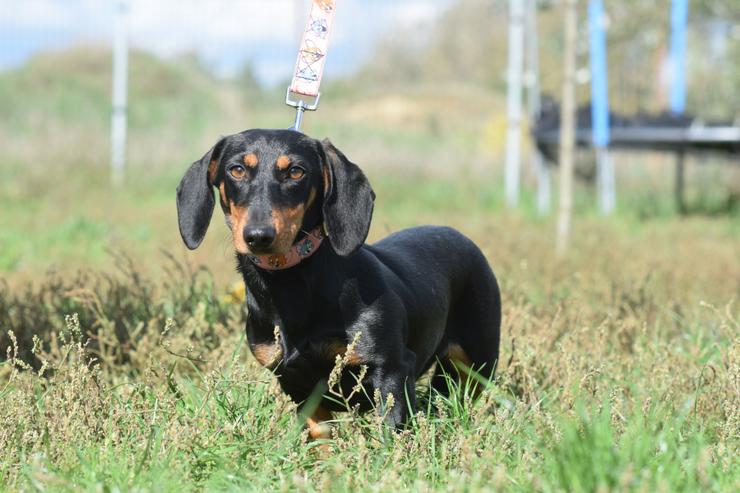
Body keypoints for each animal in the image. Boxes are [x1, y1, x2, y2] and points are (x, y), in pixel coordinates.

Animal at [178, 129, 502, 436]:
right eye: (236, 170)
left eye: (296, 171)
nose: (258, 236)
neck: (291, 286)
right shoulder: (296, 384)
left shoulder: (391, 371)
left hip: (478, 363)